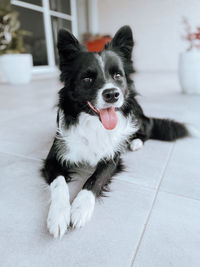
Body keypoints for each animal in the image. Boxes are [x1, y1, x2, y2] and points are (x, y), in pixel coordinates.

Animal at [41, 25, 188, 239]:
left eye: (118, 75)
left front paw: (80, 208)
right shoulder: (53, 158)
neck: (93, 124)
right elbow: (59, 183)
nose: (112, 94)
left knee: (147, 128)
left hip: (136, 115)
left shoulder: (112, 157)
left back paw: (135, 142)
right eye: (87, 78)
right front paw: (58, 216)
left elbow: (95, 179)